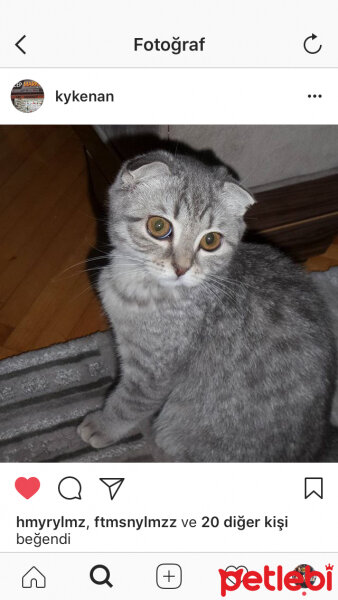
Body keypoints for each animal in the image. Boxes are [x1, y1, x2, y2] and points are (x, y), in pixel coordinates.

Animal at [78, 152, 336, 462]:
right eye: (158, 227)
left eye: (210, 241)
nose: (181, 268)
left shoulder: (154, 371)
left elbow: (129, 402)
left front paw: (103, 426)